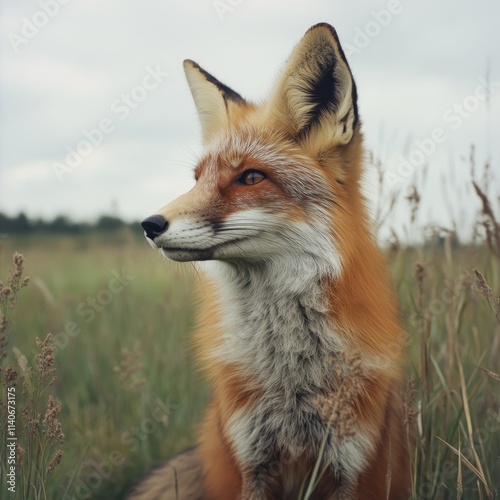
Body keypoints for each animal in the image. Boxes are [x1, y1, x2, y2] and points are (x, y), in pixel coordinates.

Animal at [133, 22, 410, 500]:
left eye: (250, 177)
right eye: (197, 179)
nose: (150, 224)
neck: (290, 380)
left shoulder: (351, 464)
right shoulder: (252, 458)